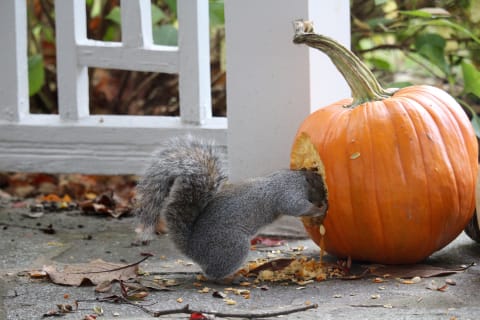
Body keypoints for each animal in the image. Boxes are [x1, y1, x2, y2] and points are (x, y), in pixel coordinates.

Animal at [137, 136, 328, 280]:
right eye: (320, 186)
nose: (325, 198)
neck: (299, 178)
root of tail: (193, 250)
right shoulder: (288, 192)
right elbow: (297, 207)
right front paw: (320, 209)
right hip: (234, 246)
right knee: (213, 275)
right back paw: (233, 278)